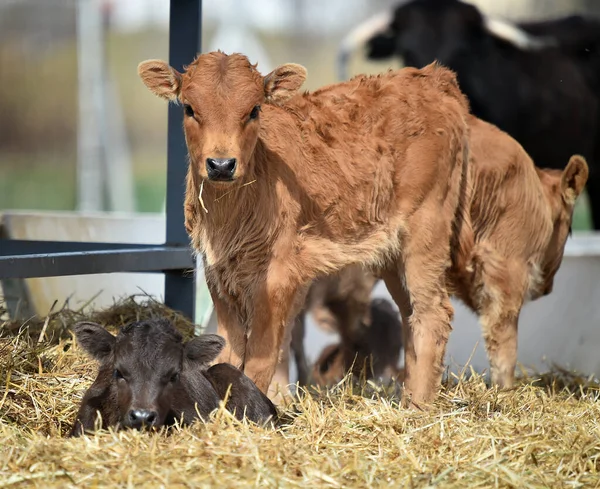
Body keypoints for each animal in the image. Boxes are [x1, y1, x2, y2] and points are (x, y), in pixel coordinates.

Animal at [138, 51, 472, 406]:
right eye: (189, 108)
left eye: (254, 109)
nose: (221, 165)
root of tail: (433, 78)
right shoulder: (219, 275)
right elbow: (229, 351)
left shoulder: (279, 277)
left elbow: (261, 357)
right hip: (393, 255)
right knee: (410, 313)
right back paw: (406, 398)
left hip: (426, 232)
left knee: (433, 313)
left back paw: (419, 405)